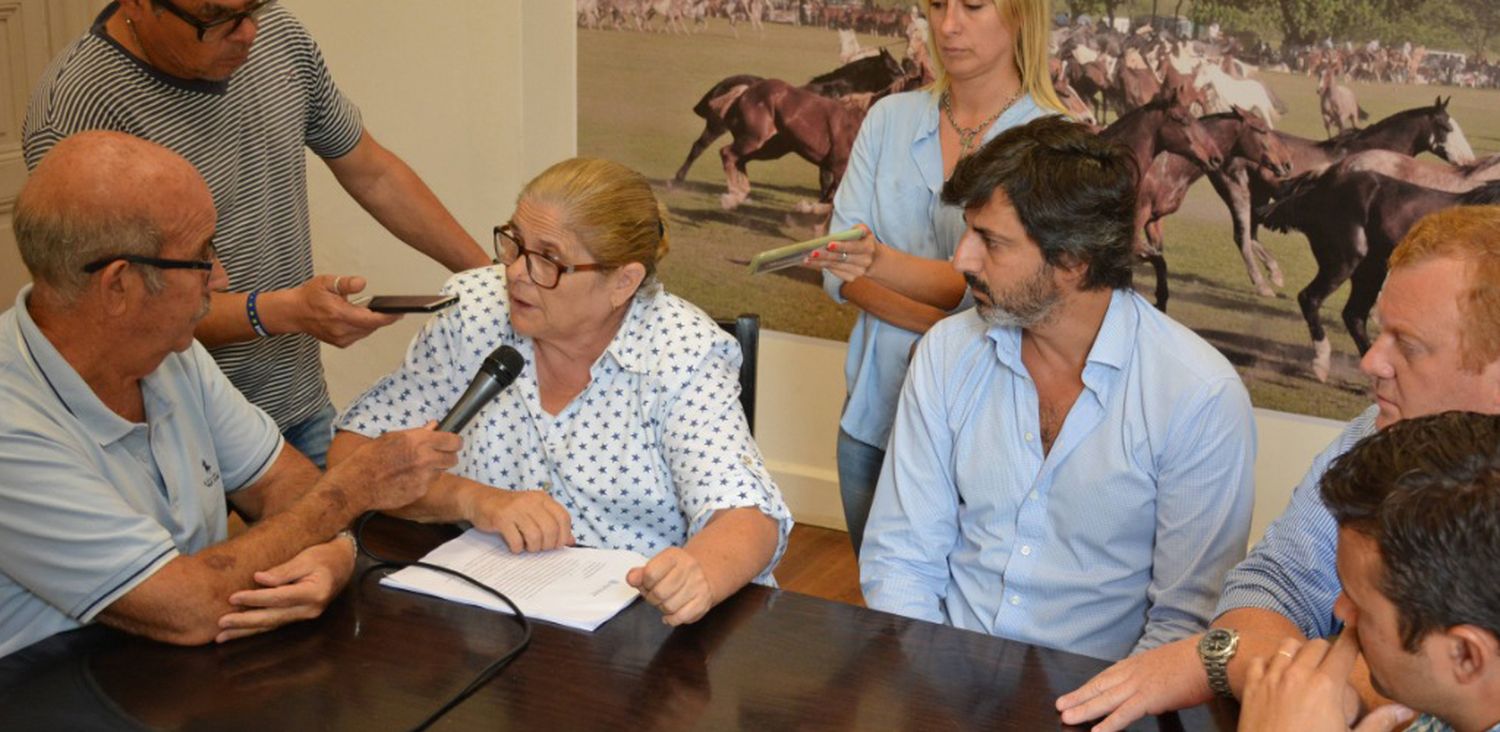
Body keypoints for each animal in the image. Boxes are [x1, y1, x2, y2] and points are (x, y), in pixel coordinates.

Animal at [1200, 97, 1470, 300]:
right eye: (1447, 128)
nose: (1466, 159)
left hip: (1257, 196)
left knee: (1252, 233)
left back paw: (1274, 273)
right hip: (1237, 192)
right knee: (1243, 237)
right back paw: (1264, 284)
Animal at [1266, 169, 1500, 381]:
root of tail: (1319, 187)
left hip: (1370, 271)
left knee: (1354, 315)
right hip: (1345, 260)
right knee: (1310, 298)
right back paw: (1322, 363)